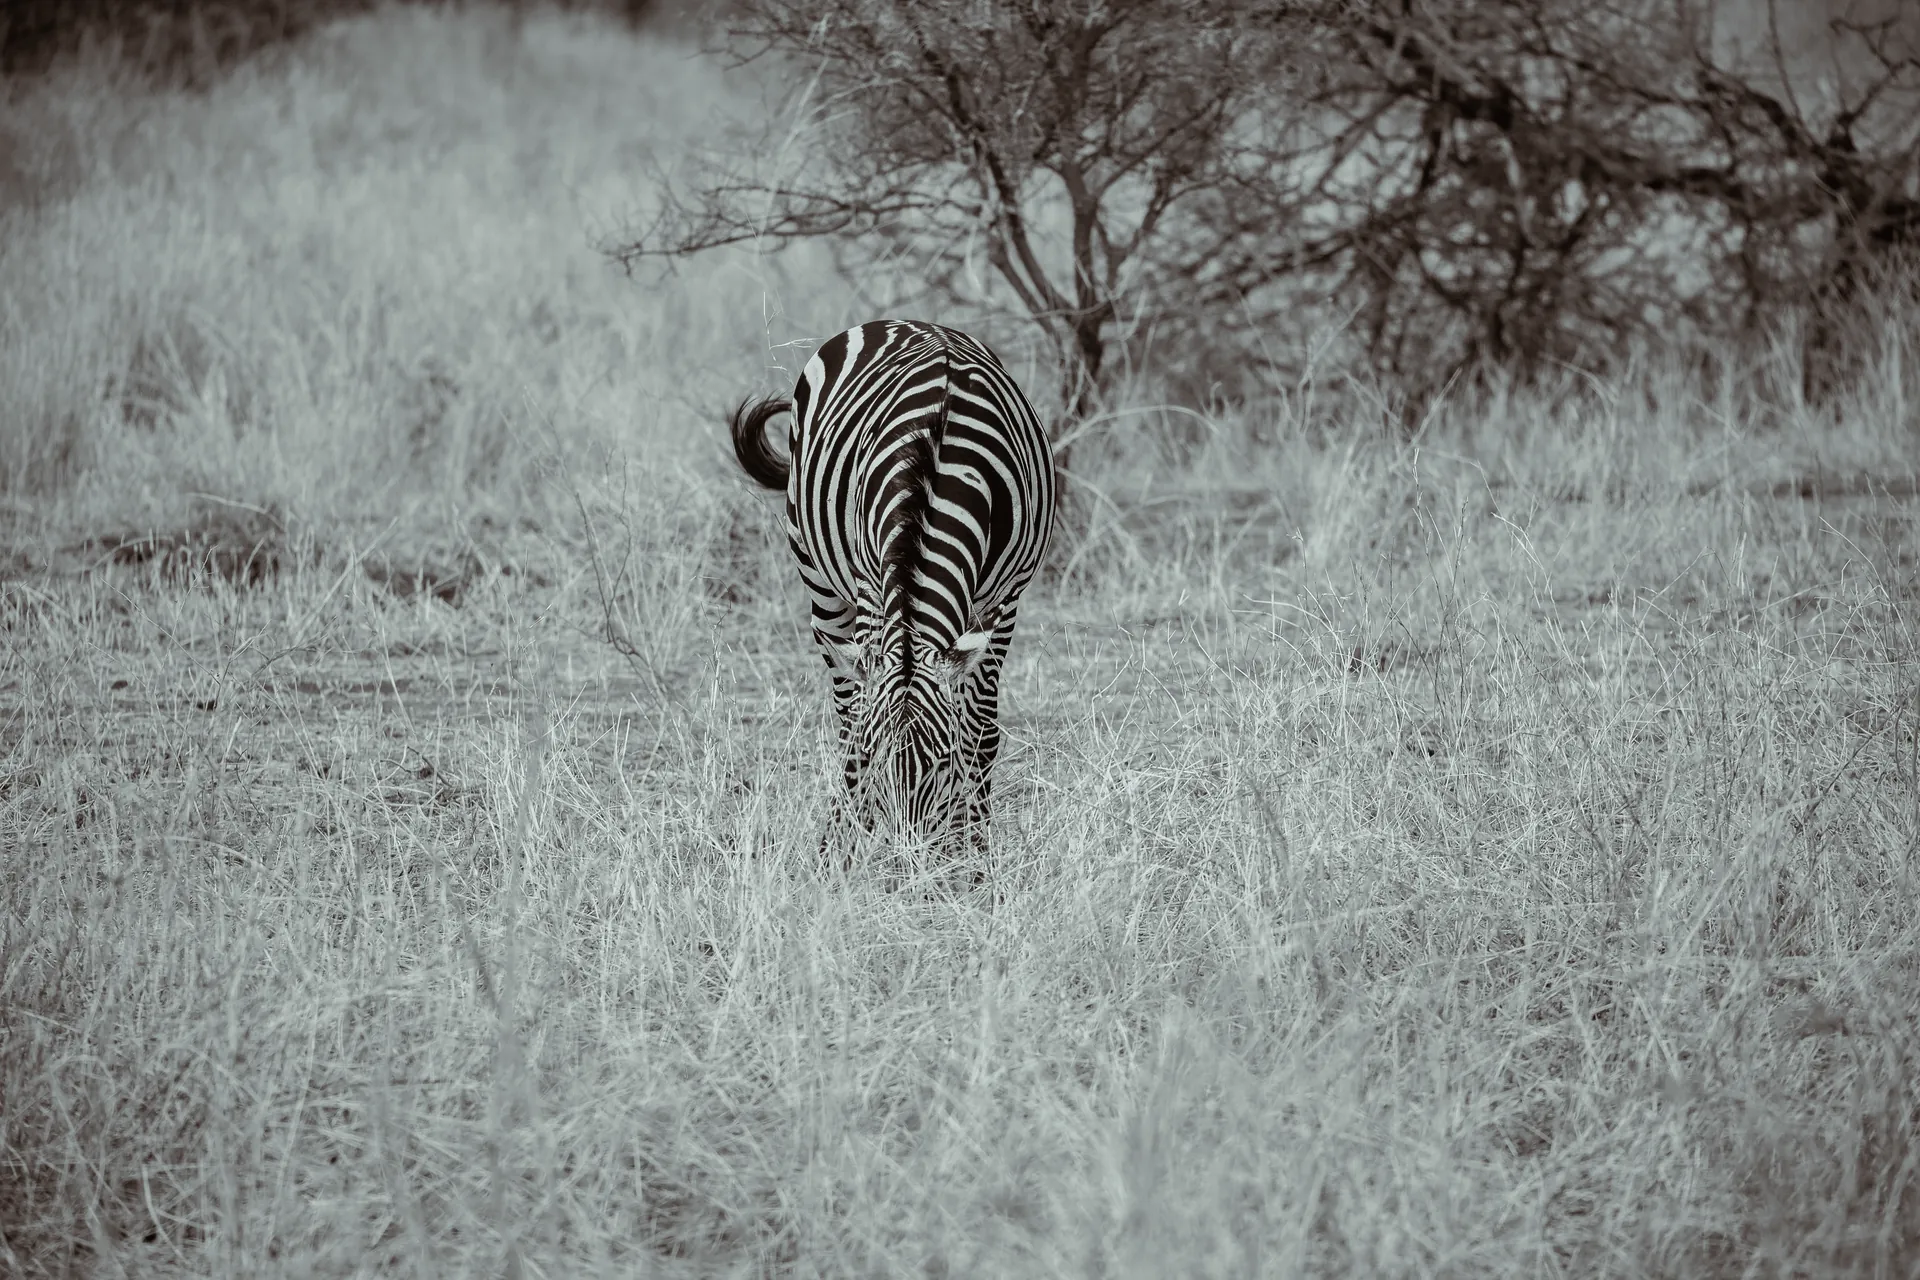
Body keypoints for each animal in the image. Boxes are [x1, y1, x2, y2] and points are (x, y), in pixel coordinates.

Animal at [730, 320, 1056, 856]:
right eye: (879, 758)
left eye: (942, 761)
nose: (910, 858)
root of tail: (908, 323)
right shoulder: (869, 585)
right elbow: (861, 720)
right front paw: (858, 840)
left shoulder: (1005, 600)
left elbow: (980, 731)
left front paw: (974, 848)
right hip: (819, 580)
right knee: (847, 708)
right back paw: (839, 836)